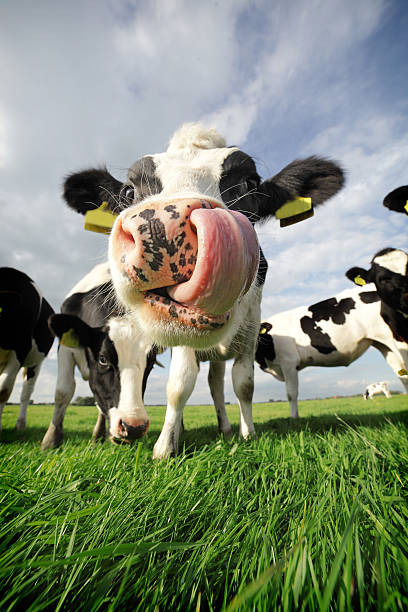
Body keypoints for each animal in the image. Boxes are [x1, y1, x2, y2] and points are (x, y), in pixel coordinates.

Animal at [40, 262, 158, 450]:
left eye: (151, 363)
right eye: (103, 359)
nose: (133, 427)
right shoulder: (65, 347)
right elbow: (63, 390)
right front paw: (51, 441)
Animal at [61, 122, 344, 456]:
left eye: (249, 182)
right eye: (129, 191)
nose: (162, 226)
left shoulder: (251, 326)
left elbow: (243, 384)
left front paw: (248, 434)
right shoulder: (181, 332)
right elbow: (179, 385)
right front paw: (165, 447)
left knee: (216, 383)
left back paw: (225, 428)